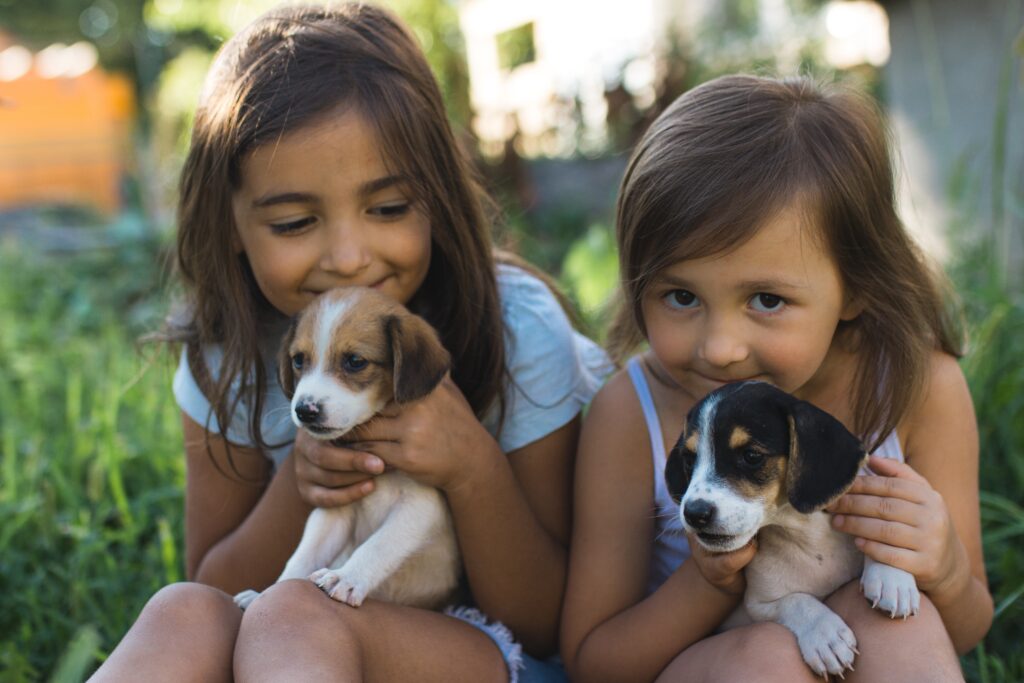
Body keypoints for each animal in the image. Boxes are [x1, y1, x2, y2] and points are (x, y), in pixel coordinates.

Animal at [235, 286, 460, 610]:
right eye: (299, 360)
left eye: (355, 361)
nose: (304, 410)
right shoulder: (334, 510)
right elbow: (301, 558)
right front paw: (268, 594)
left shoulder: (422, 504)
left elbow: (379, 544)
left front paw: (346, 577)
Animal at [663, 385, 921, 679]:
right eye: (689, 460)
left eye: (752, 456)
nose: (694, 513)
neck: (803, 533)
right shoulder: (757, 605)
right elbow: (796, 601)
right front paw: (825, 634)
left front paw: (891, 578)